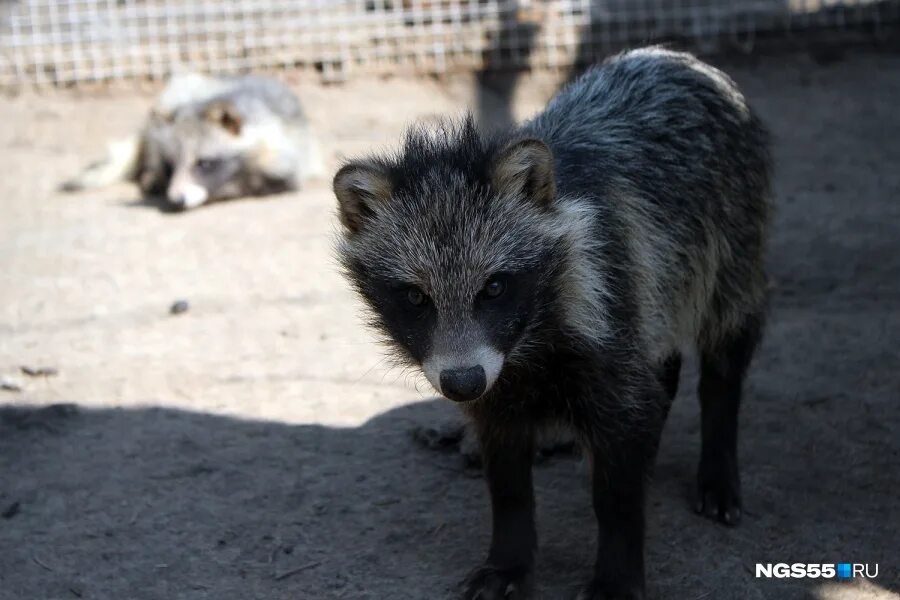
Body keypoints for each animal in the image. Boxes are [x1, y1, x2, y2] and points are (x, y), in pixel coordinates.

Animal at [334, 48, 768, 600]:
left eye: (495, 287)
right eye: (415, 297)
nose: (461, 383)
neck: (528, 342)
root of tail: (674, 57)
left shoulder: (610, 298)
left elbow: (619, 469)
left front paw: (618, 566)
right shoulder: (496, 383)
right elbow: (507, 476)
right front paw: (510, 556)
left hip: (732, 237)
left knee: (724, 347)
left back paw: (717, 454)